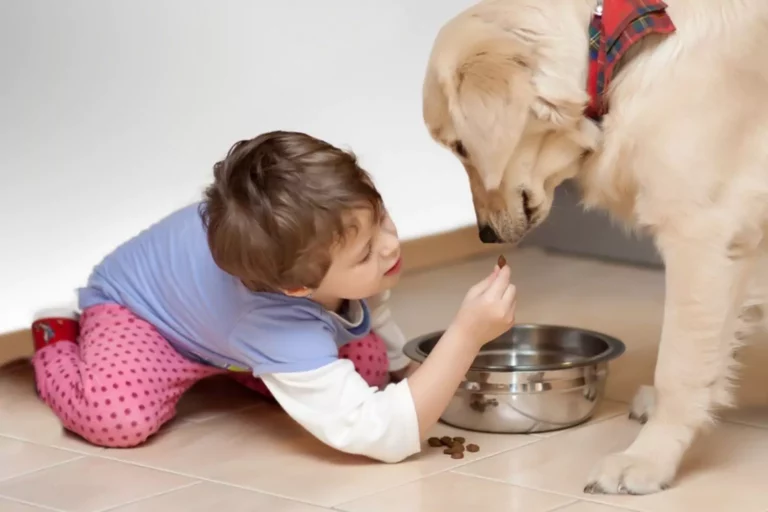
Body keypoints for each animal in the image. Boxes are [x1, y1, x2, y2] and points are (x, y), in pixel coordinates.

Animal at [424, 0, 764, 496]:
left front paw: (647, 459)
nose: (484, 234)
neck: (617, 47)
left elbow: (680, 368)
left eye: (462, 147)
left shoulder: (699, 233)